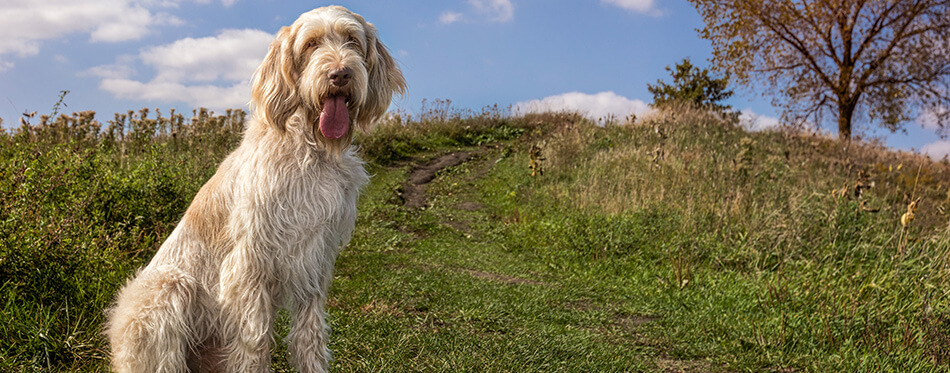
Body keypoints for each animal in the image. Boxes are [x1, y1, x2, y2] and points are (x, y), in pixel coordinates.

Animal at [106, 6, 408, 372]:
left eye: (352, 40)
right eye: (311, 44)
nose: (340, 74)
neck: (310, 150)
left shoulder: (314, 261)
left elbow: (309, 336)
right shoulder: (249, 264)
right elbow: (255, 339)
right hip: (167, 288)